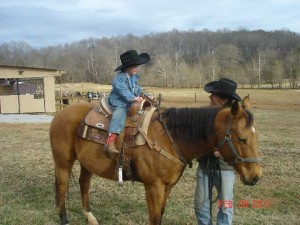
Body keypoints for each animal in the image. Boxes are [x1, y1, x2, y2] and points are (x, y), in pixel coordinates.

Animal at [49, 96, 262, 225]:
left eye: (255, 136)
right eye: (241, 139)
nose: (256, 176)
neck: (170, 138)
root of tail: (60, 113)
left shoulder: (167, 187)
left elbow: (160, 214)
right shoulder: (153, 186)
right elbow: (154, 217)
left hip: (87, 163)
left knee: (84, 184)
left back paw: (90, 218)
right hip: (63, 162)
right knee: (62, 187)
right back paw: (64, 219)